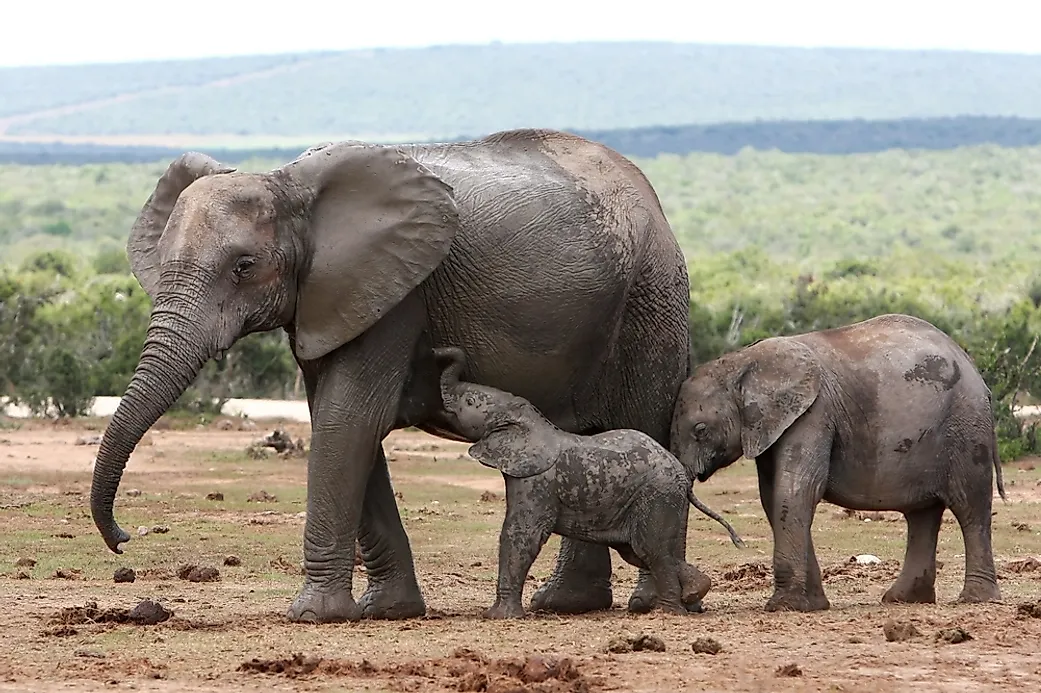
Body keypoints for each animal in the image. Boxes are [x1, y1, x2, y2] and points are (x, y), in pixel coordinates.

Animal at [87, 127, 691, 620]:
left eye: (244, 267)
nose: (125, 538)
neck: (291, 187)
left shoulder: (396, 293)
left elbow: (348, 420)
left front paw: (312, 616)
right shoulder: (332, 297)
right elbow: (342, 424)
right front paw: (387, 611)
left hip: (650, 299)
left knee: (636, 422)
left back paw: (650, 604)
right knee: (586, 437)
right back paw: (568, 604)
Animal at [435, 343, 745, 616]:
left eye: (470, 402)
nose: (437, 350)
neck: (529, 420)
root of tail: (679, 470)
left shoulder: (537, 478)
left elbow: (522, 533)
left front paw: (499, 617)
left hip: (656, 494)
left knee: (652, 550)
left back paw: (669, 613)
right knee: (638, 551)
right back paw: (697, 590)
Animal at [670, 312, 1003, 611]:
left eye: (700, 430)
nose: (694, 596)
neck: (741, 363)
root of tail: (975, 371)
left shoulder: (814, 412)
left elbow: (798, 490)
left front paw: (783, 606)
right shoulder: (773, 426)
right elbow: (773, 496)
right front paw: (812, 606)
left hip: (966, 426)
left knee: (970, 505)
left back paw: (975, 600)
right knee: (922, 514)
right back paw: (903, 600)